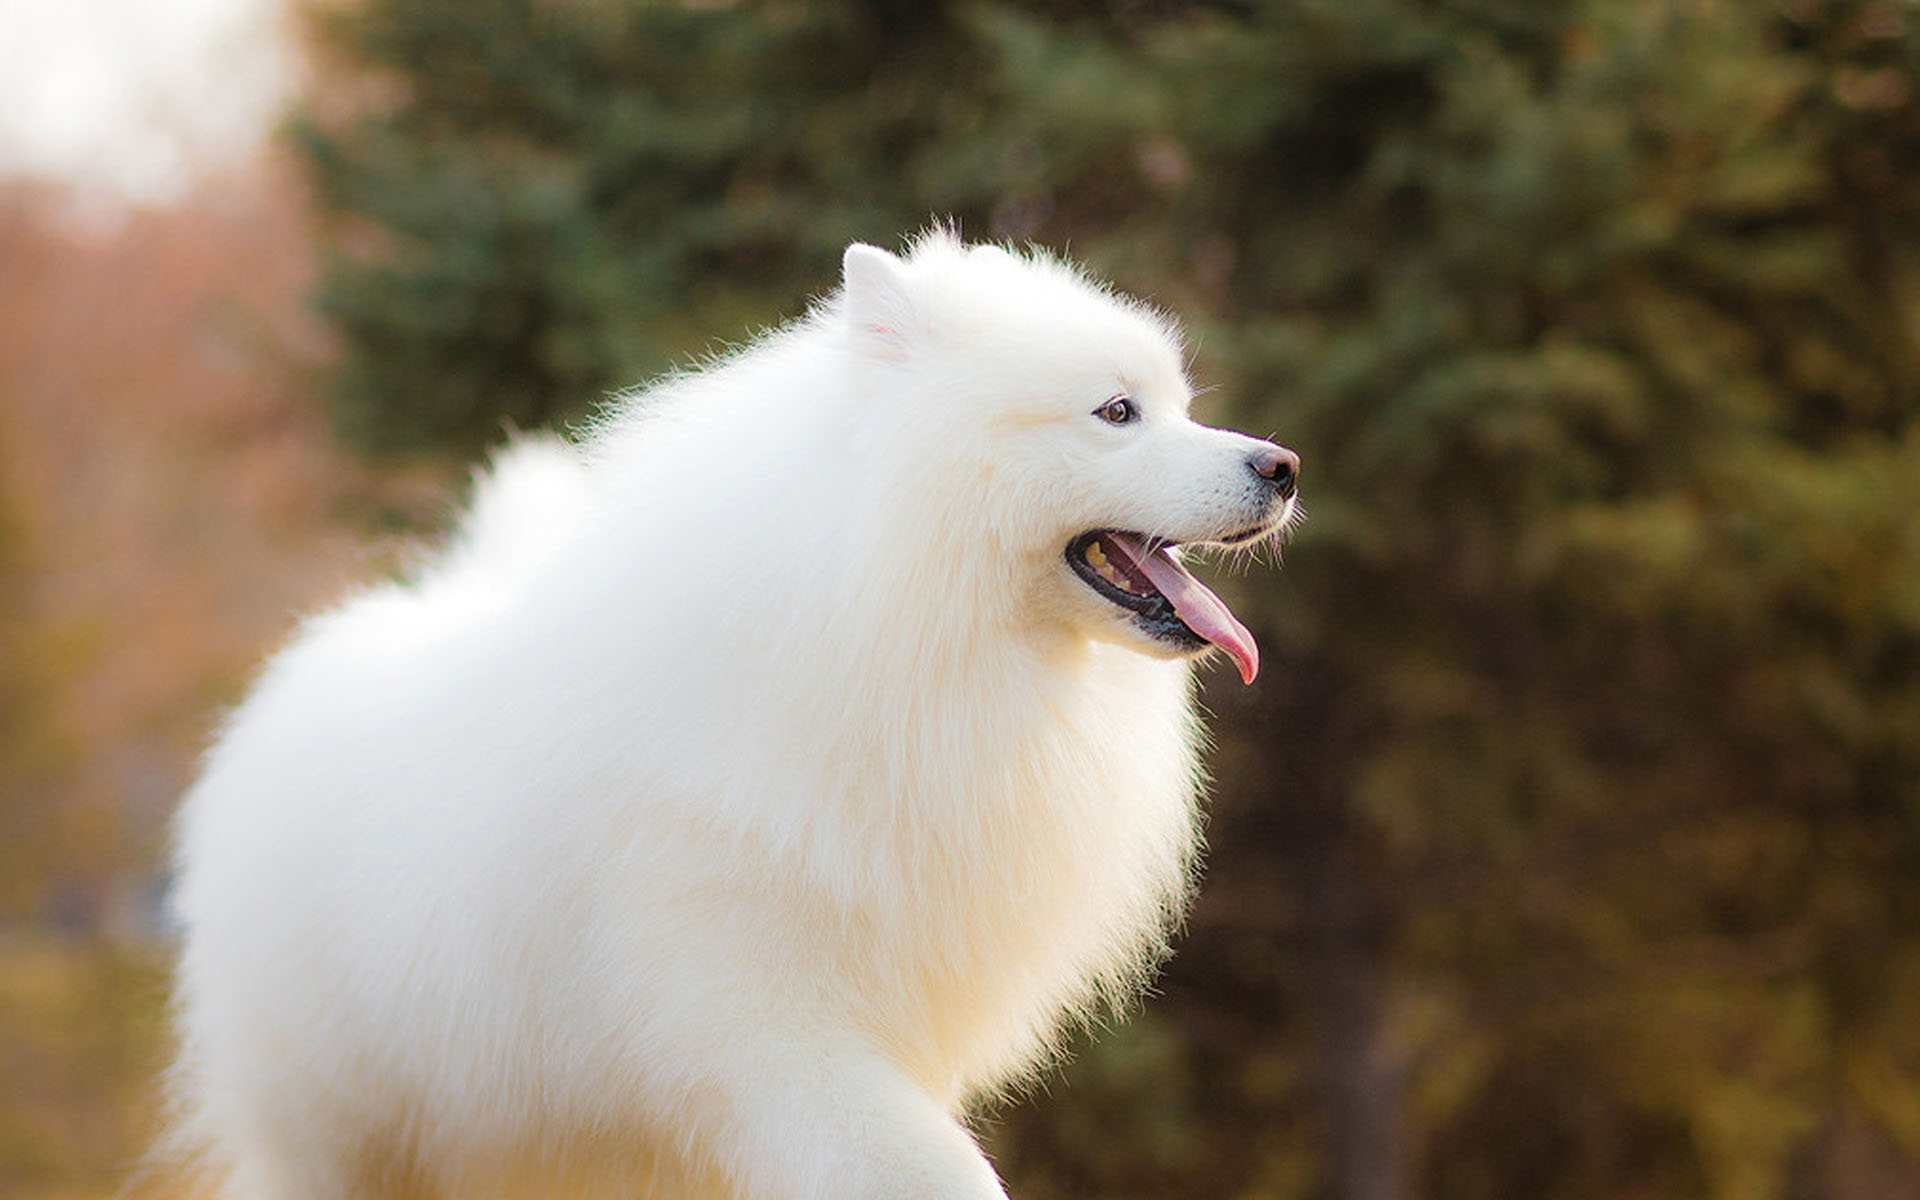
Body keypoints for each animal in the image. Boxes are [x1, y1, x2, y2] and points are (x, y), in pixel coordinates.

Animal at [168, 234, 1305, 1198]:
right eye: (1117, 412)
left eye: (1180, 405)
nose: (1283, 465)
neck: (888, 623)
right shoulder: (770, 1026)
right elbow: (947, 1175)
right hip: (338, 1132)